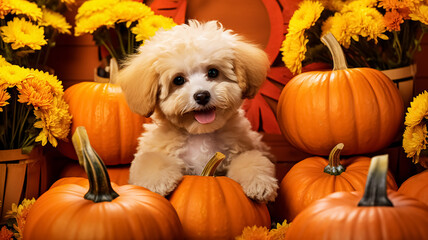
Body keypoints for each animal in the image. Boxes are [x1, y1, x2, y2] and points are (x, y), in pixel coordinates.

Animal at [118, 19, 278, 202]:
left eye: (213, 72)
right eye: (178, 80)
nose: (202, 95)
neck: (201, 134)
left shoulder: (243, 148)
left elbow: (252, 159)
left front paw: (260, 183)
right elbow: (149, 160)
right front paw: (157, 182)